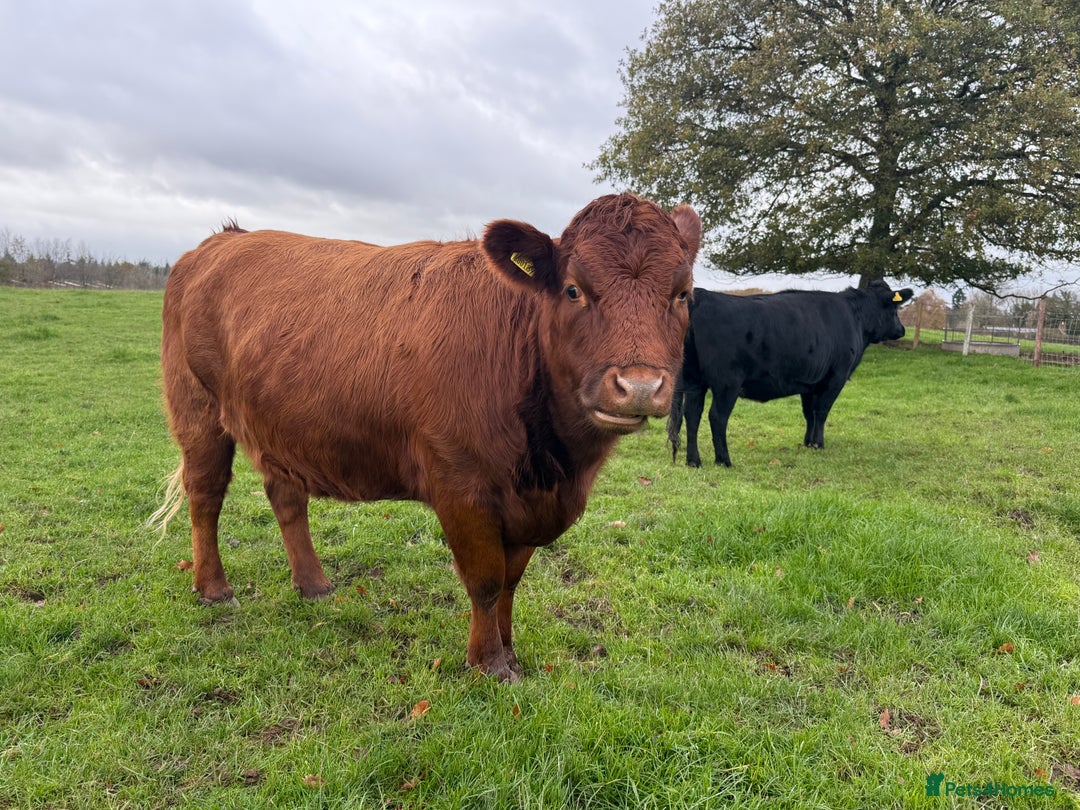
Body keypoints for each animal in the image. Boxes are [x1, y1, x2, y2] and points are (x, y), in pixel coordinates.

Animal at [152, 193, 701, 681]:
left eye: (683, 293)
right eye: (572, 290)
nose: (639, 385)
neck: (555, 465)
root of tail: (221, 240)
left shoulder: (528, 501)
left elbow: (511, 581)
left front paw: (510, 652)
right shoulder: (460, 486)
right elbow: (485, 580)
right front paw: (489, 664)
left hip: (280, 426)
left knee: (287, 498)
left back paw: (314, 585)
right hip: (198, 410)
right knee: (205, 496)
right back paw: (214, 588)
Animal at [668, 280, 913, 468]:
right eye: (894, 309)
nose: (902, 330)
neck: (855, 317)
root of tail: (700, 296)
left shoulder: (810, 382)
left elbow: (809, 413)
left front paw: (807, 442)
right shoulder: (836, 377)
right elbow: (822, 411)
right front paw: (818, 444)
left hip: (694, 379)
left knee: (692, 414)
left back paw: (694, 461)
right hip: (727, 382)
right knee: (717, 417)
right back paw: (724, 460)